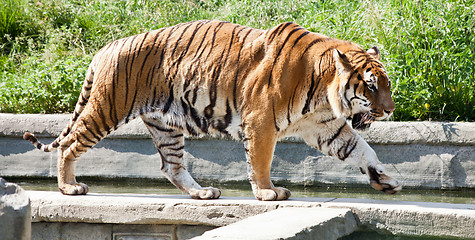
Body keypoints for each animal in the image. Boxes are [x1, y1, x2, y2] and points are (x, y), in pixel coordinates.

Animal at [22, 20, 402, 201]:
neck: (324, 90)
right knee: (70, 144)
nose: (390, 111)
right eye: (371, 86)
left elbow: (361, 149)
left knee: (171, 166)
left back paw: (202, 193)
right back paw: (69, 187)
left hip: (165, 126)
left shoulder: (324, 126)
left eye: (386, 84)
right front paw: (267, 192)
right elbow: (260, 161)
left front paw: (385, 179)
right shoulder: (261, 122)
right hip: (107, 108)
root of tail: (106, 46)